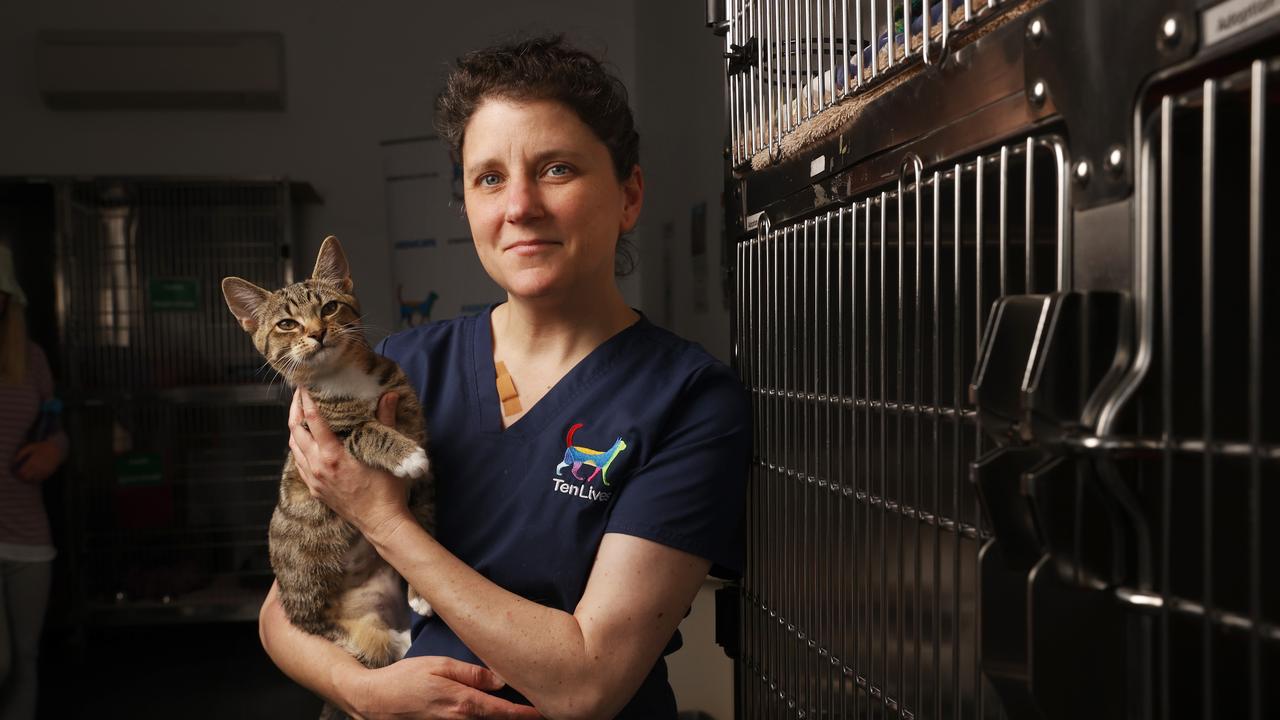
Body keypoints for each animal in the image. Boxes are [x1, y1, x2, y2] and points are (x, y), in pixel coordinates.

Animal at [220, 235, 435, 671]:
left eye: (329, 307)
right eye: (287, 324)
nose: (318, 332)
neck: (345, 377)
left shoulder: (408, 407)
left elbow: (422, 513)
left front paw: (421, 591)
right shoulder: (327, 432)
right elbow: (367, 430)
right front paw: (406, 454)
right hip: (320, 614)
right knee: (373, 649)